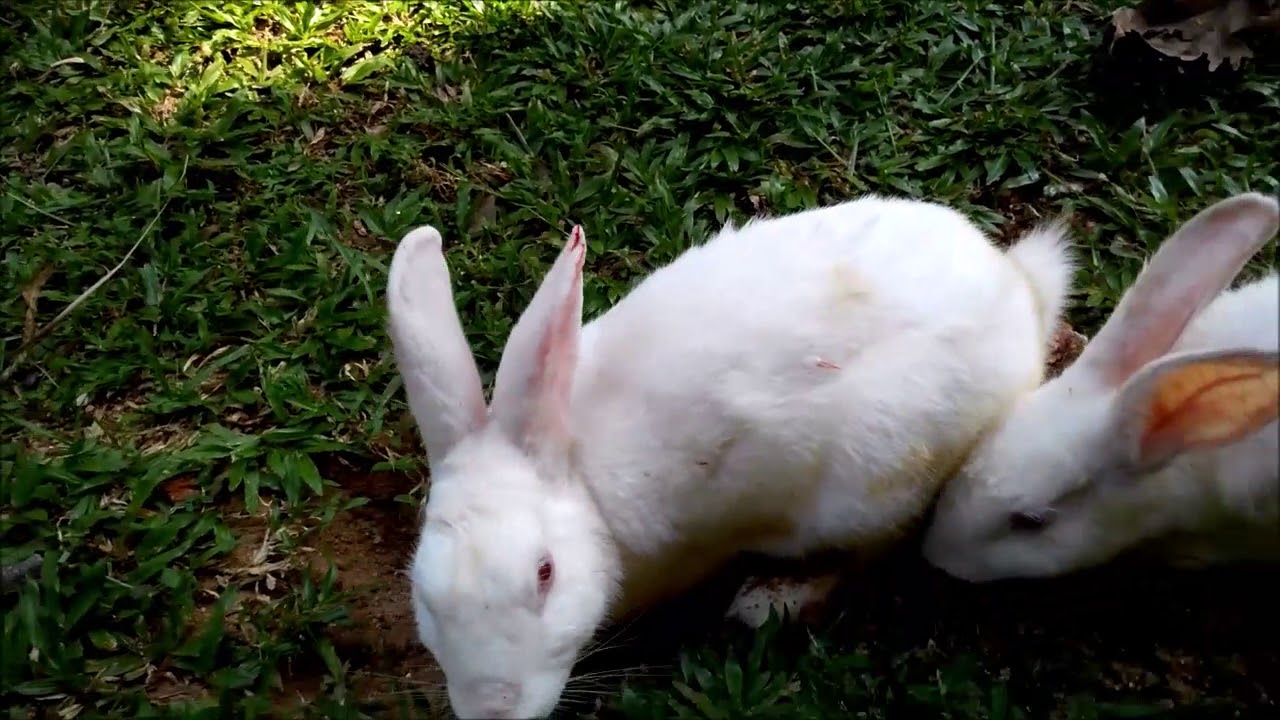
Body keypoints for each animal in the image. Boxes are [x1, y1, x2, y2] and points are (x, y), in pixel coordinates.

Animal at [385, 194, 1075, 719]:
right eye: (423, 594)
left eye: (545, 574)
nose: (492, 708)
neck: (581, 482)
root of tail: (1020, 297)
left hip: (875, 478)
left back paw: (769, 600)